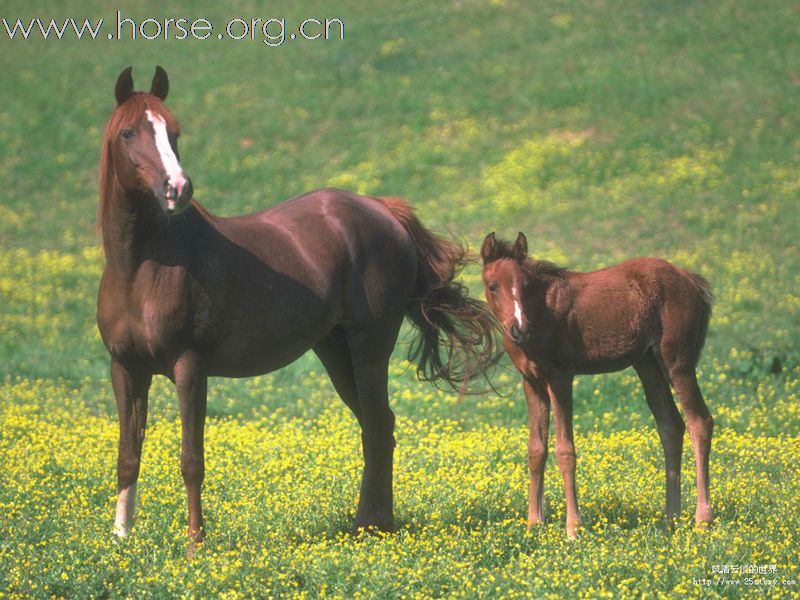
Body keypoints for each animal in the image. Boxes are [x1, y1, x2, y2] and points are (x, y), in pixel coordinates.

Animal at [97, 67, 496, 548]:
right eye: (129, 132)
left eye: (174, 132)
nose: (177, 189)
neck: (144, 267)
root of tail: (382, 210)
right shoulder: (126, 369)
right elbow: (127, 456)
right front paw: (121, 539)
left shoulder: (189, 367)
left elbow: (191, 459)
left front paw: (195, 544)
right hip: (334, 350)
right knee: (376, 427)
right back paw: (372, 523)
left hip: (369, 345)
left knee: (378, 426)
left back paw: (371, 526)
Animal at [482, 232, 712, 536]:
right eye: (492, 285)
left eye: (525, 285)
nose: (519, 329)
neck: (542, 314)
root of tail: (691, 279)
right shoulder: (531, 382)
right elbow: (536, 450)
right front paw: (534, 523)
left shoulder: (561, 377)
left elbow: (565, 450)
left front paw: (573, 528)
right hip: (648, 365)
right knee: (671, 426)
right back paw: (669, 519)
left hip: (678, 362)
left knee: (700, 422)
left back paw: (703, 518)